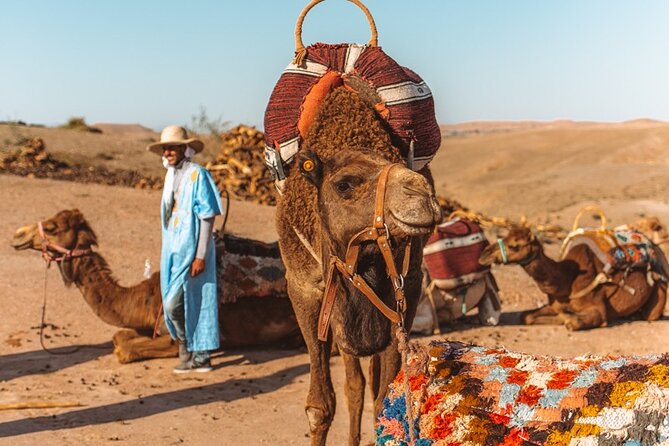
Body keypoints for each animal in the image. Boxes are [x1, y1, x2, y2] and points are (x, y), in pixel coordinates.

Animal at [11, 209, 300, 362]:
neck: (147, 298)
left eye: (51, 227)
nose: (17, 234)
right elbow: (119, 336)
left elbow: (125, 349)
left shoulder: (179, 337)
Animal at [478, 225, 664, 330]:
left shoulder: (598, 309)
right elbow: (526, 317)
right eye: (504, 237)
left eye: (514, 246)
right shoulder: (555, 304)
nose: (483, 255)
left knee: (651, 315)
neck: (567, 280)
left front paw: (566, 318)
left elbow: (573, 322)